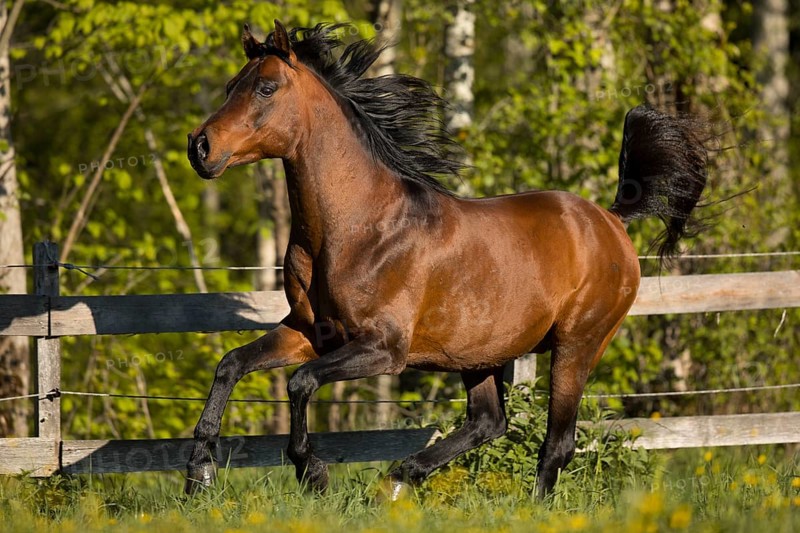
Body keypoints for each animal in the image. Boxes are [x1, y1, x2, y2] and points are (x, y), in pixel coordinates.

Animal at [185, 20, 708, 499]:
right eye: (231, 86)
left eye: (266, 87)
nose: (200, 147)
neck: (358, 228)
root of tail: (611, 219)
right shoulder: (309, 332)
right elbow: (231, 364)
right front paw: (200, 476)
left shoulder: (384, 349)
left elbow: (300, 383)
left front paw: (311, 472)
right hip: (479, 353)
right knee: (488, 423)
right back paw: (398, 479)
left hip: (577, 345)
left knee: (556, 443)